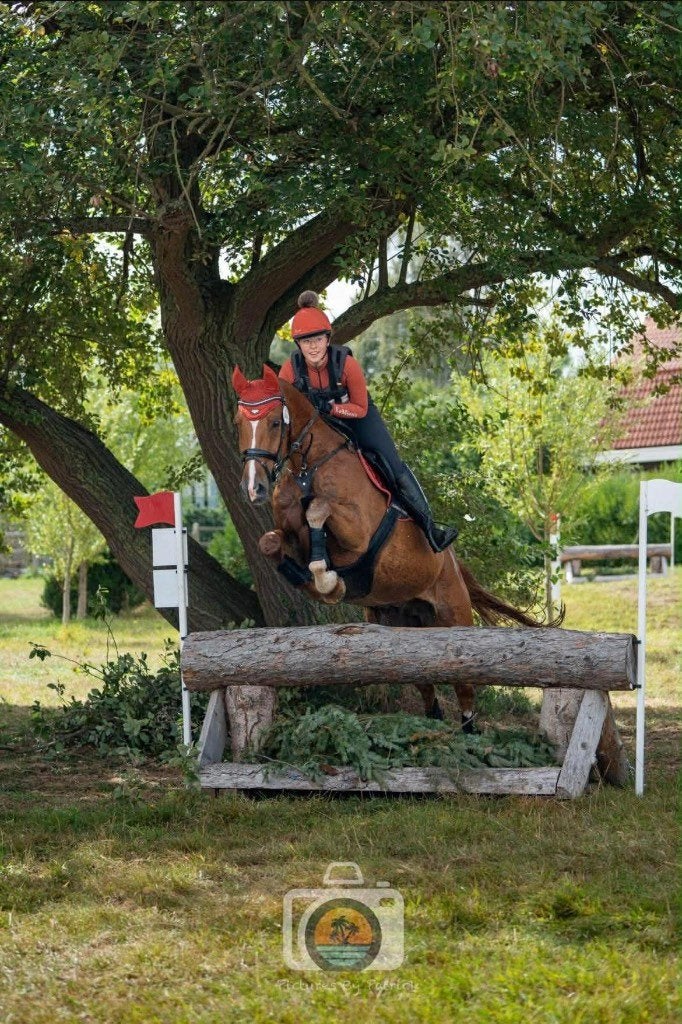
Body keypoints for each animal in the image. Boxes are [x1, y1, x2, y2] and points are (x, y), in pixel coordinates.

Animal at [233, 364, 550, 730]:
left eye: (274, 422)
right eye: (238, 423)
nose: (253, 488)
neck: (305, 469)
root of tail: (454, 564)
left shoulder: (357, 534)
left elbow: (318, 511)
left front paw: (328, 581)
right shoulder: (289, 535)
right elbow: (270, 543)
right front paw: (318, 582)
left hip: (453, 617)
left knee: (464, 690)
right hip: (398, 626)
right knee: (424, 686)